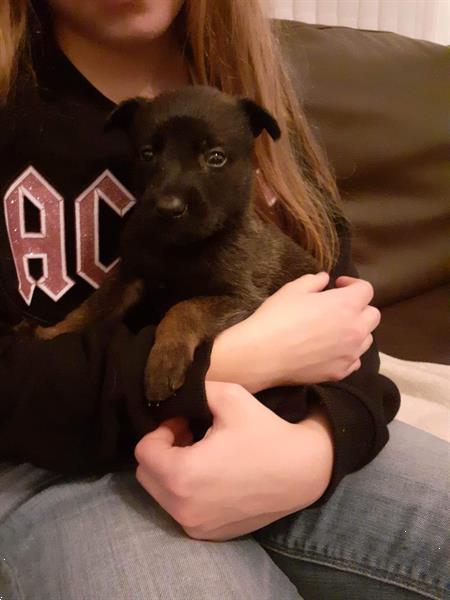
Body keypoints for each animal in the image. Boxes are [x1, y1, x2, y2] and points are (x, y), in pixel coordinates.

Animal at [36, 85, 320, 404]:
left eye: (216, 157)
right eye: (147, 154)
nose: (168, 208)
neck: (179, 247)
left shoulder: (242, 297)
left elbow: (185, 308)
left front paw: (164, 363)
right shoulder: (129, 275)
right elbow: (95, 305)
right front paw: (53, 332)